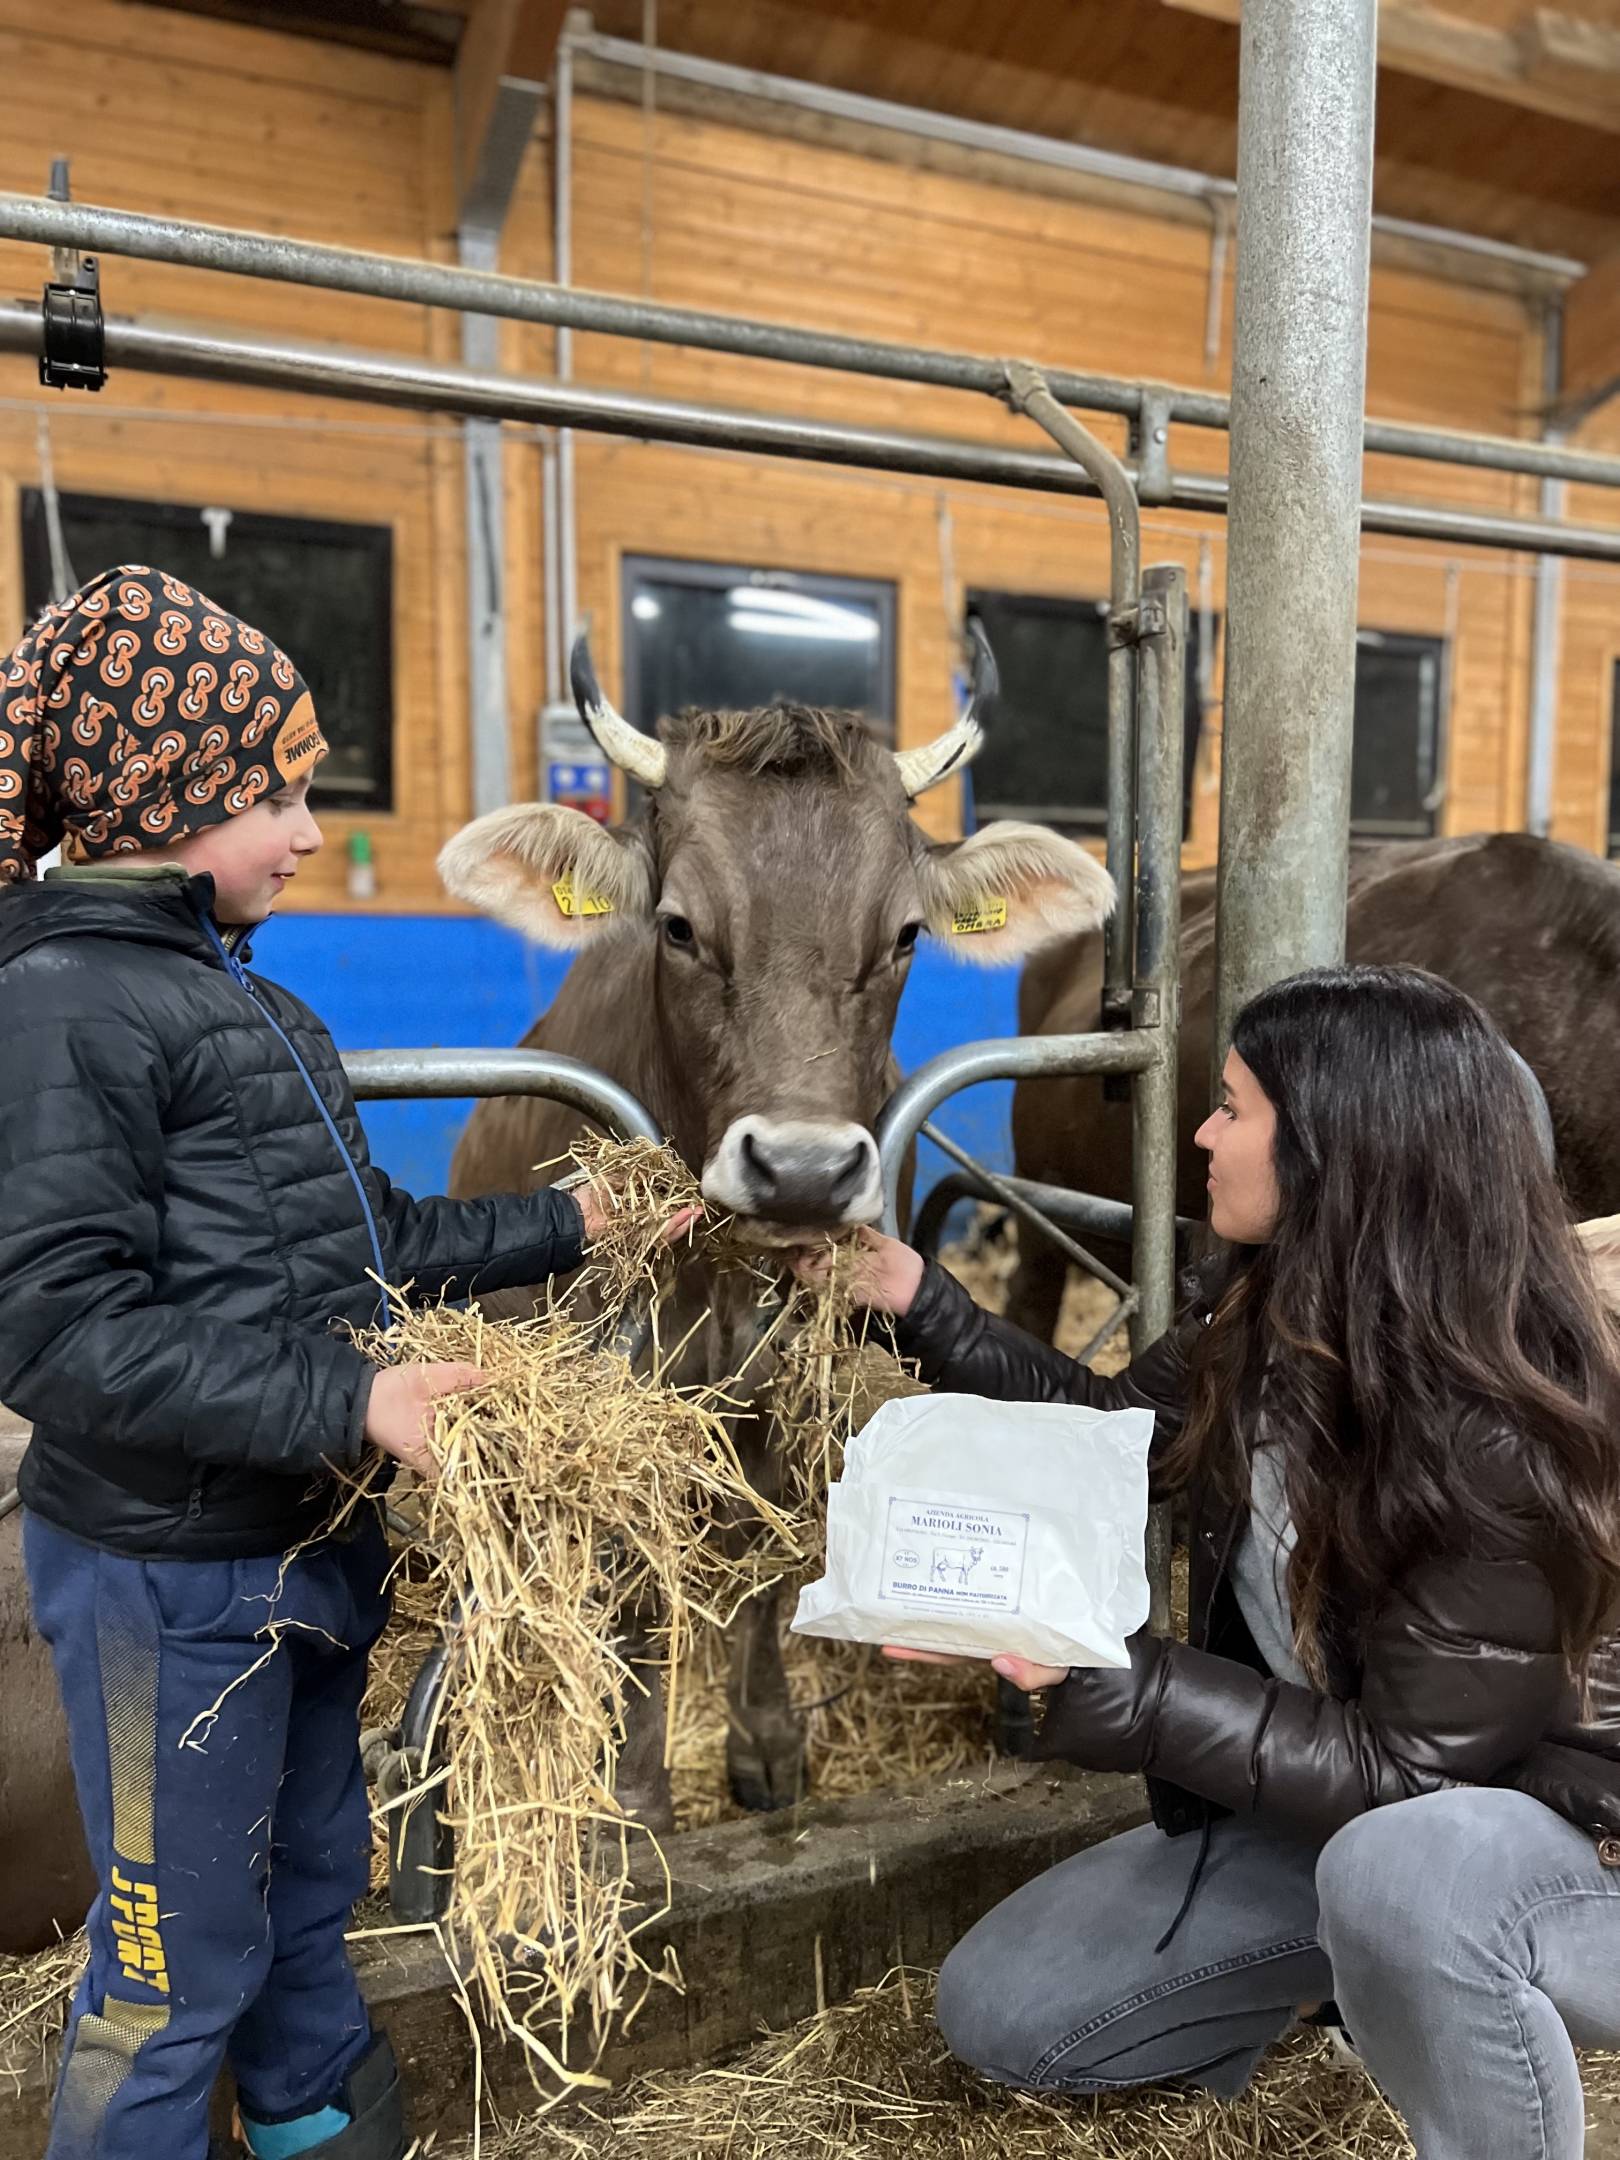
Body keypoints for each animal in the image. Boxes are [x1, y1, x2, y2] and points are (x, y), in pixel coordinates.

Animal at [434, 635, 1114, 1823]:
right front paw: (637, 1781)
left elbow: (765, 1534)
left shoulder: (791, 1367)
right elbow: (638, 1566)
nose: (801, 1169)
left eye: (905, 934)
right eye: (677, 926)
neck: (717, 1281)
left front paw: (765, 1743)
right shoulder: (624, 1391)